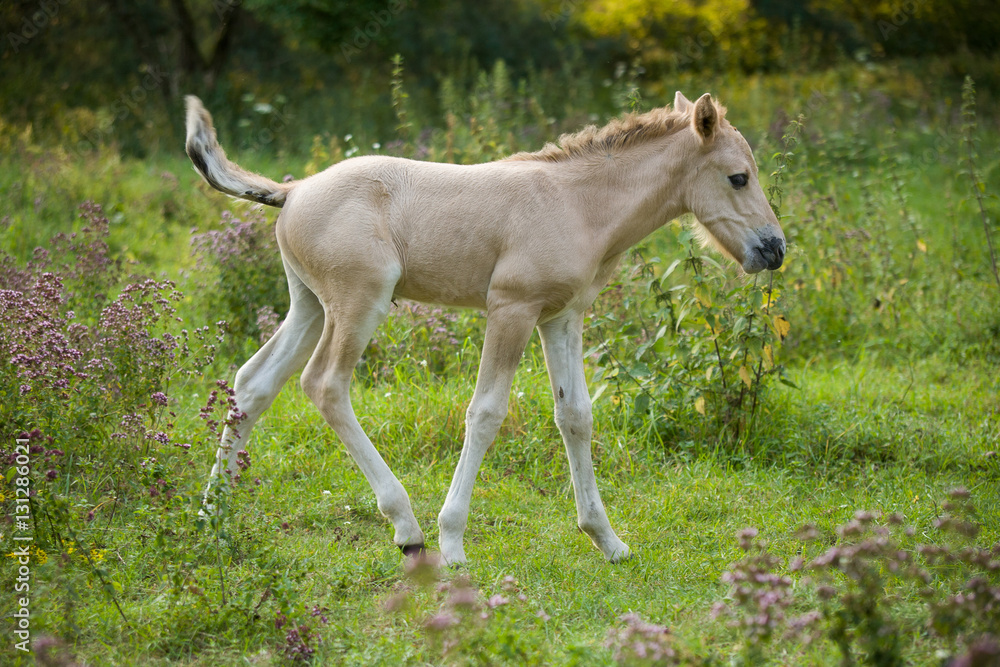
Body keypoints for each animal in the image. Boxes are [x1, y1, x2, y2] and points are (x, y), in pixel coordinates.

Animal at [184, 91, 785, 565]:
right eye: (738, 177)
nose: (774, 249)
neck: (578, 202)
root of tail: (295, 190)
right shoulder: (511, 310)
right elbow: (486, 413)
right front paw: (453, 542)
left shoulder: (562, 318)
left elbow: (575, 416)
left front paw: (606, 540)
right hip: (360, 302)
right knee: (325, 384)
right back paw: (407, 528)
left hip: (309, 304)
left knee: (254, 382)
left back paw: (213, 514)